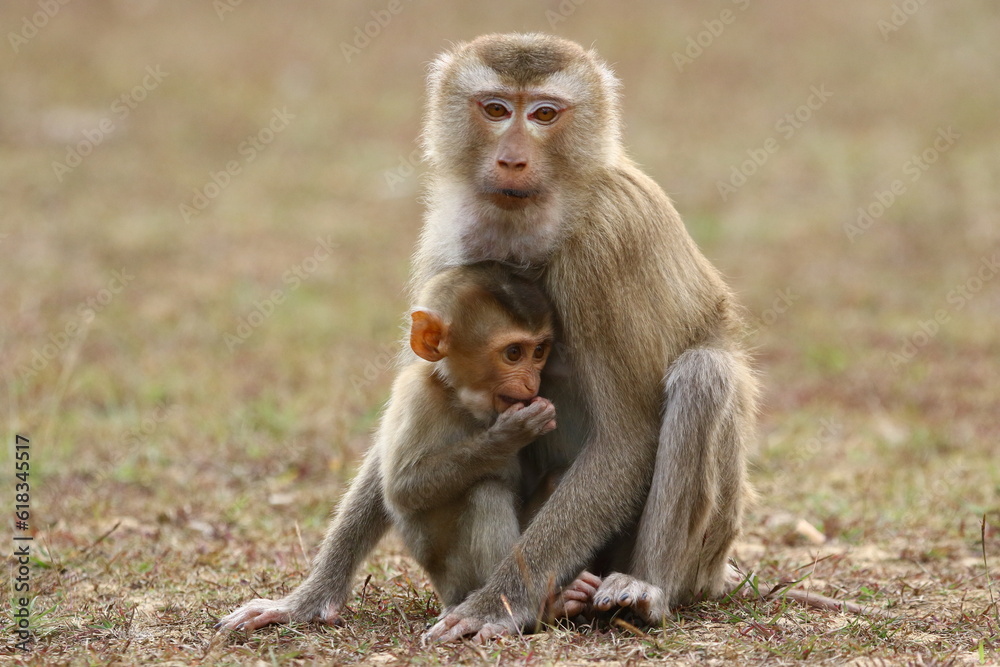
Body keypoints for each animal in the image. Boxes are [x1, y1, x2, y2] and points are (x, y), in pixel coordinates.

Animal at [217, 261, 600, 632]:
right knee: (485, 493)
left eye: (539, 352)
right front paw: (510, 434)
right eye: (514, 353)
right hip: (457, 582)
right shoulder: (416, 396)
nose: (533, 381)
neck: (458, 397)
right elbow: (402, 489)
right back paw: (548, 603)